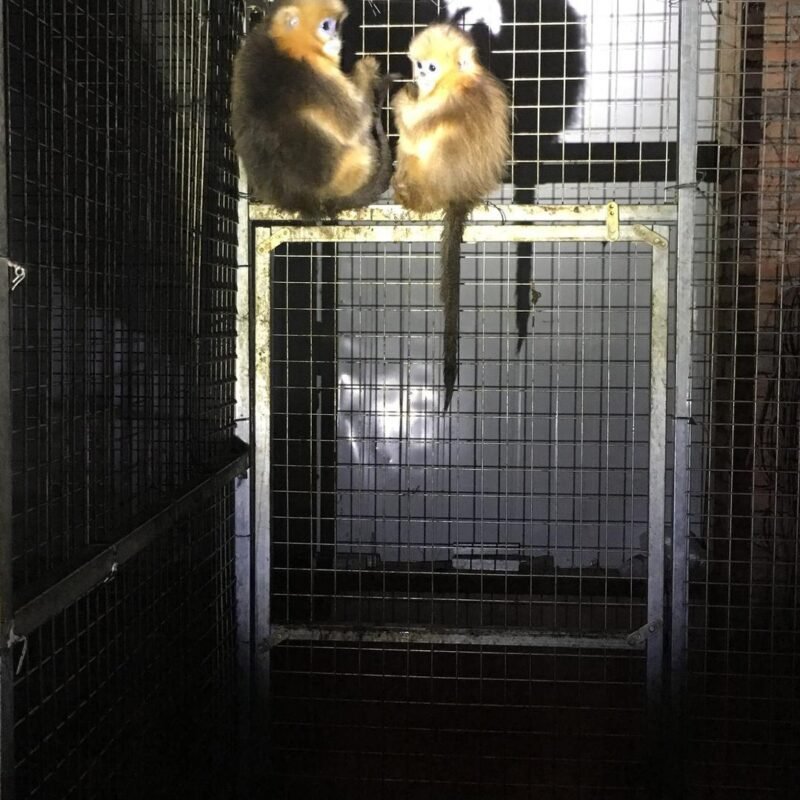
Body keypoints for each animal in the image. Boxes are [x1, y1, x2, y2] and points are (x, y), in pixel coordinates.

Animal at [231, 0, 391, 217]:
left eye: (337, 25)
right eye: (326, 26)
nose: (336, 39)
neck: (284, 47)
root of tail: (305, 200)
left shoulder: (248, 51)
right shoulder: (319, 74)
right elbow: (356, 123)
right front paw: (366, 68)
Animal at [391, 24, 510, 411]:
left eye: (431, 68)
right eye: (419, 65)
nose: (419, 76)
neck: (459, 80)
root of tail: (461, 196)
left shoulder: (443, 102)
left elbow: (413, 123)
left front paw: (402, 95)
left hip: (425, 178)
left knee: (414, 142)